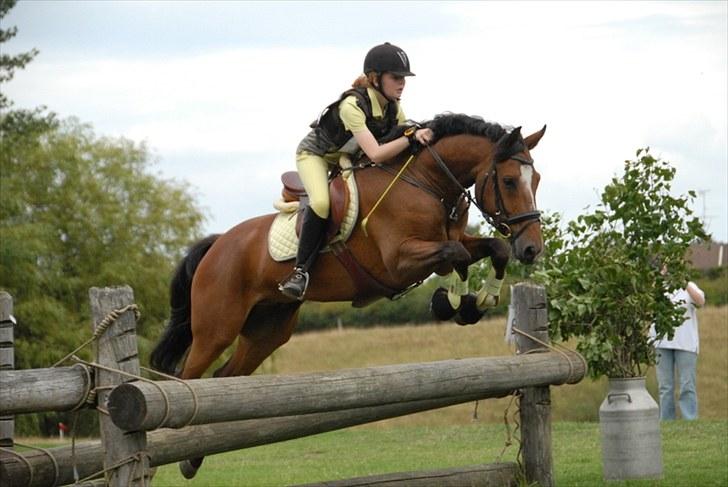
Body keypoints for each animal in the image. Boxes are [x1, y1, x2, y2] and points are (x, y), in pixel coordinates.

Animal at [150, 113, 546, 478]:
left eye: (537, 180)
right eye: (509, 181)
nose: (531, 249)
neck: (426, 183)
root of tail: (218, 244)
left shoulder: (452, 240)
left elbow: (491, 248)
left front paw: (476, 303)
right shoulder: (398, 261)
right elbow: (455, 255)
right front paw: (450, 303)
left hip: (268, 330)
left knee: (223, 378)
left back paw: (193, 458)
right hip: (217, 328)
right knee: (187, 378)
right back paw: (166, 452)